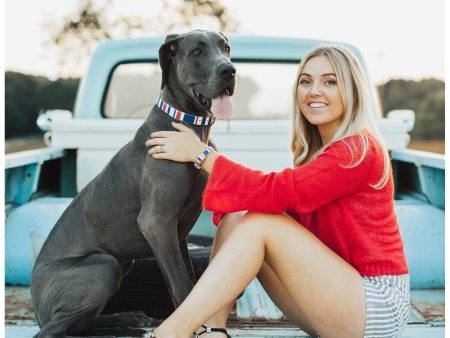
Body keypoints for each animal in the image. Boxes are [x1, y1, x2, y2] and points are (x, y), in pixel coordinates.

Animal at [29, 29, 236, 338]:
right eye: (197, 52)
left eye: (226, 48)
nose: (229, 70)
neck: (190, 127)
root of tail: (37, 308)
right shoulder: (157, 223)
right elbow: (182, 286)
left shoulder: (177, 233)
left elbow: (189, 280)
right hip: (104, 266)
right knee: (55, 331)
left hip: (122, 263)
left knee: (80, 325)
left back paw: (128, 318)